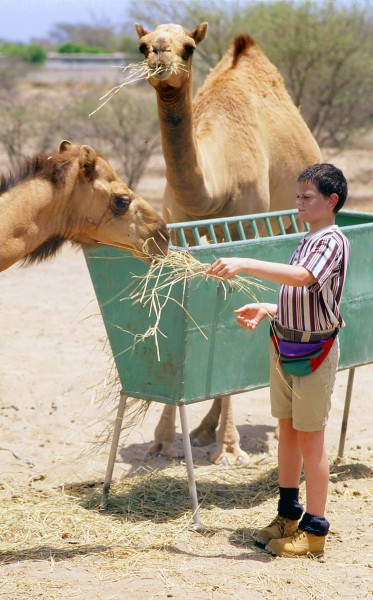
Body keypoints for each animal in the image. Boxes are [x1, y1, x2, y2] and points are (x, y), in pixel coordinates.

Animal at [135, 22, 322, 464]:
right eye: (143, 44)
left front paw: (230, 447)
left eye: (188, 47)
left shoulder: (244, 224)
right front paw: (163, 440)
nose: (160, 56)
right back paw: (204, 429)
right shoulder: (178, 222)